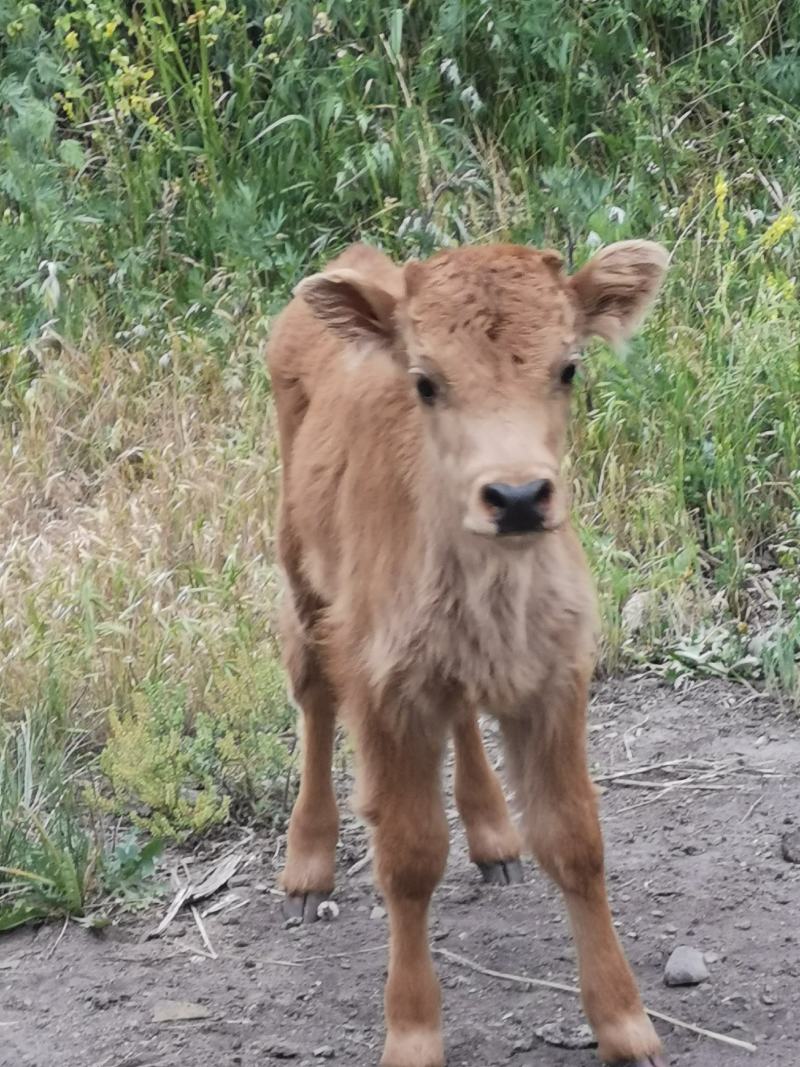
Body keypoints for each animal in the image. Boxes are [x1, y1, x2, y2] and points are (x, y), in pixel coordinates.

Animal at [269, 237, 669, 1062]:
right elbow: (410, 857)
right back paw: (307, 869)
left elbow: (575, 838)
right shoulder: (386, 691)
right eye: (425, 381)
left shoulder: (553, 678)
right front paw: (413, 1034)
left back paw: (493, 837)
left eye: (568, 367)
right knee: (314, 695)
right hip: (302, 581)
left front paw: (627, 1025)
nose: (516, 497)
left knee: (460, 716)